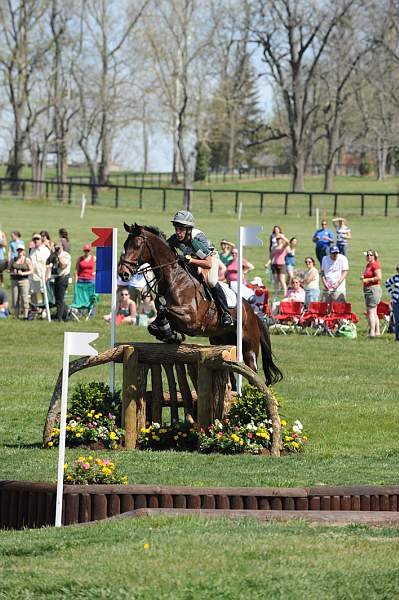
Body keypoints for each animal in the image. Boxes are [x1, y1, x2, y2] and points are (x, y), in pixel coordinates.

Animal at [119, 223, 284, 386]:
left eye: (137, 246)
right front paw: (170, 334)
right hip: (221, 342)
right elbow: (156, 319)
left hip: (249, 346)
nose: (123, 273)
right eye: (125, 245)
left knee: (252, 371)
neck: (174, 279)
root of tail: (253, 312)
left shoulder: (191, 319)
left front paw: (172, 334)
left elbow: (165, 309)